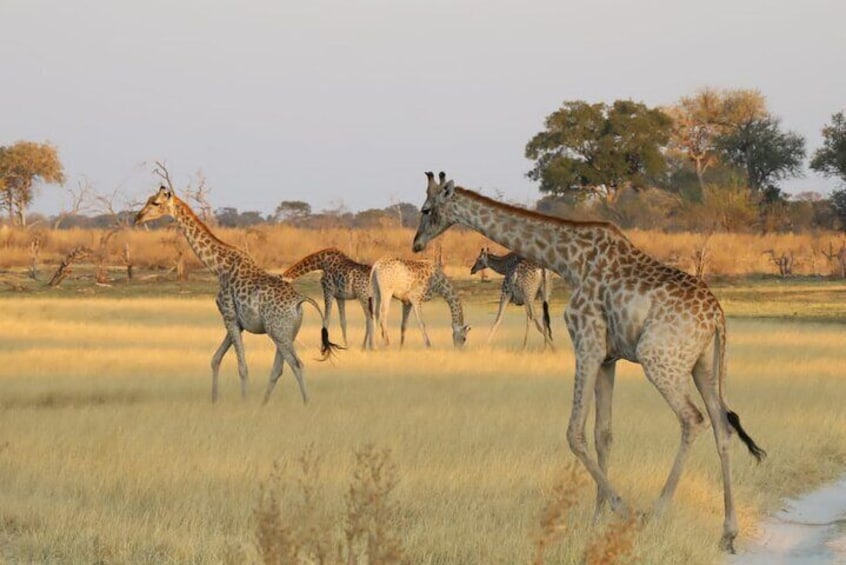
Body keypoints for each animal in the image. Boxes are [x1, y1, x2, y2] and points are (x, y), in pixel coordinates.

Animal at [136, 187, 342, 404]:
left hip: (278, 332)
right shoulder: (237, 322)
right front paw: (214, 401)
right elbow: (215, 359)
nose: (137, 217)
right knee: (278, 369)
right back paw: (263, 405)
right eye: (149, 200)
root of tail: (299, 301)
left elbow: (242, 367)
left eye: (155, 203)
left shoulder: (229, 316)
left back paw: (305, 404)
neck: (218, 267)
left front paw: (244, 402)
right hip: (285, 333)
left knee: (297, 364)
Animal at [412, 171, 768, 552]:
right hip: (702, 365)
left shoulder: (586, 343)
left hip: (658, 359)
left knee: (692, 419)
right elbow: (603, 433)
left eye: (426, 209)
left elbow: (574, 433)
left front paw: (620, 510)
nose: (416, 244)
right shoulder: (608, 357)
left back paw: (656, 512)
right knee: (721, 425)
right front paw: (596, 518)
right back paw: (727, 533)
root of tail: (718, 318)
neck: (568, 260)